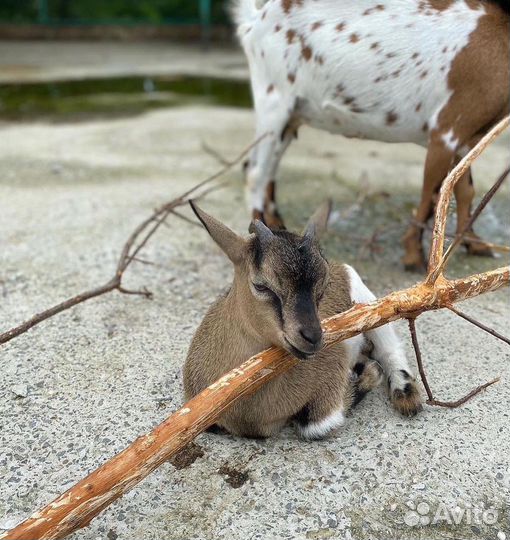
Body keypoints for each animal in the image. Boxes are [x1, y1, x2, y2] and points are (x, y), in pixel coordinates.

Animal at [184, 201, 422, 438]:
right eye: (261, 285)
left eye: (324, 285)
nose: (313, 337)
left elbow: (315, 425)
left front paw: (368, 371)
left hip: (369, 305)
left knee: (389, 348)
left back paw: (406, 394)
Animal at [232, 0, 510, 270]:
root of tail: (256, 19)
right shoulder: (445, 130)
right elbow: (434, 194)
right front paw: (414, 256)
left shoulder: (466, 138)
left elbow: (464, 190)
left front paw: (476, 245)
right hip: (274, 98)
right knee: (255, 172)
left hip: (292, 116)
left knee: (269, 168)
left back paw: (277, 226)